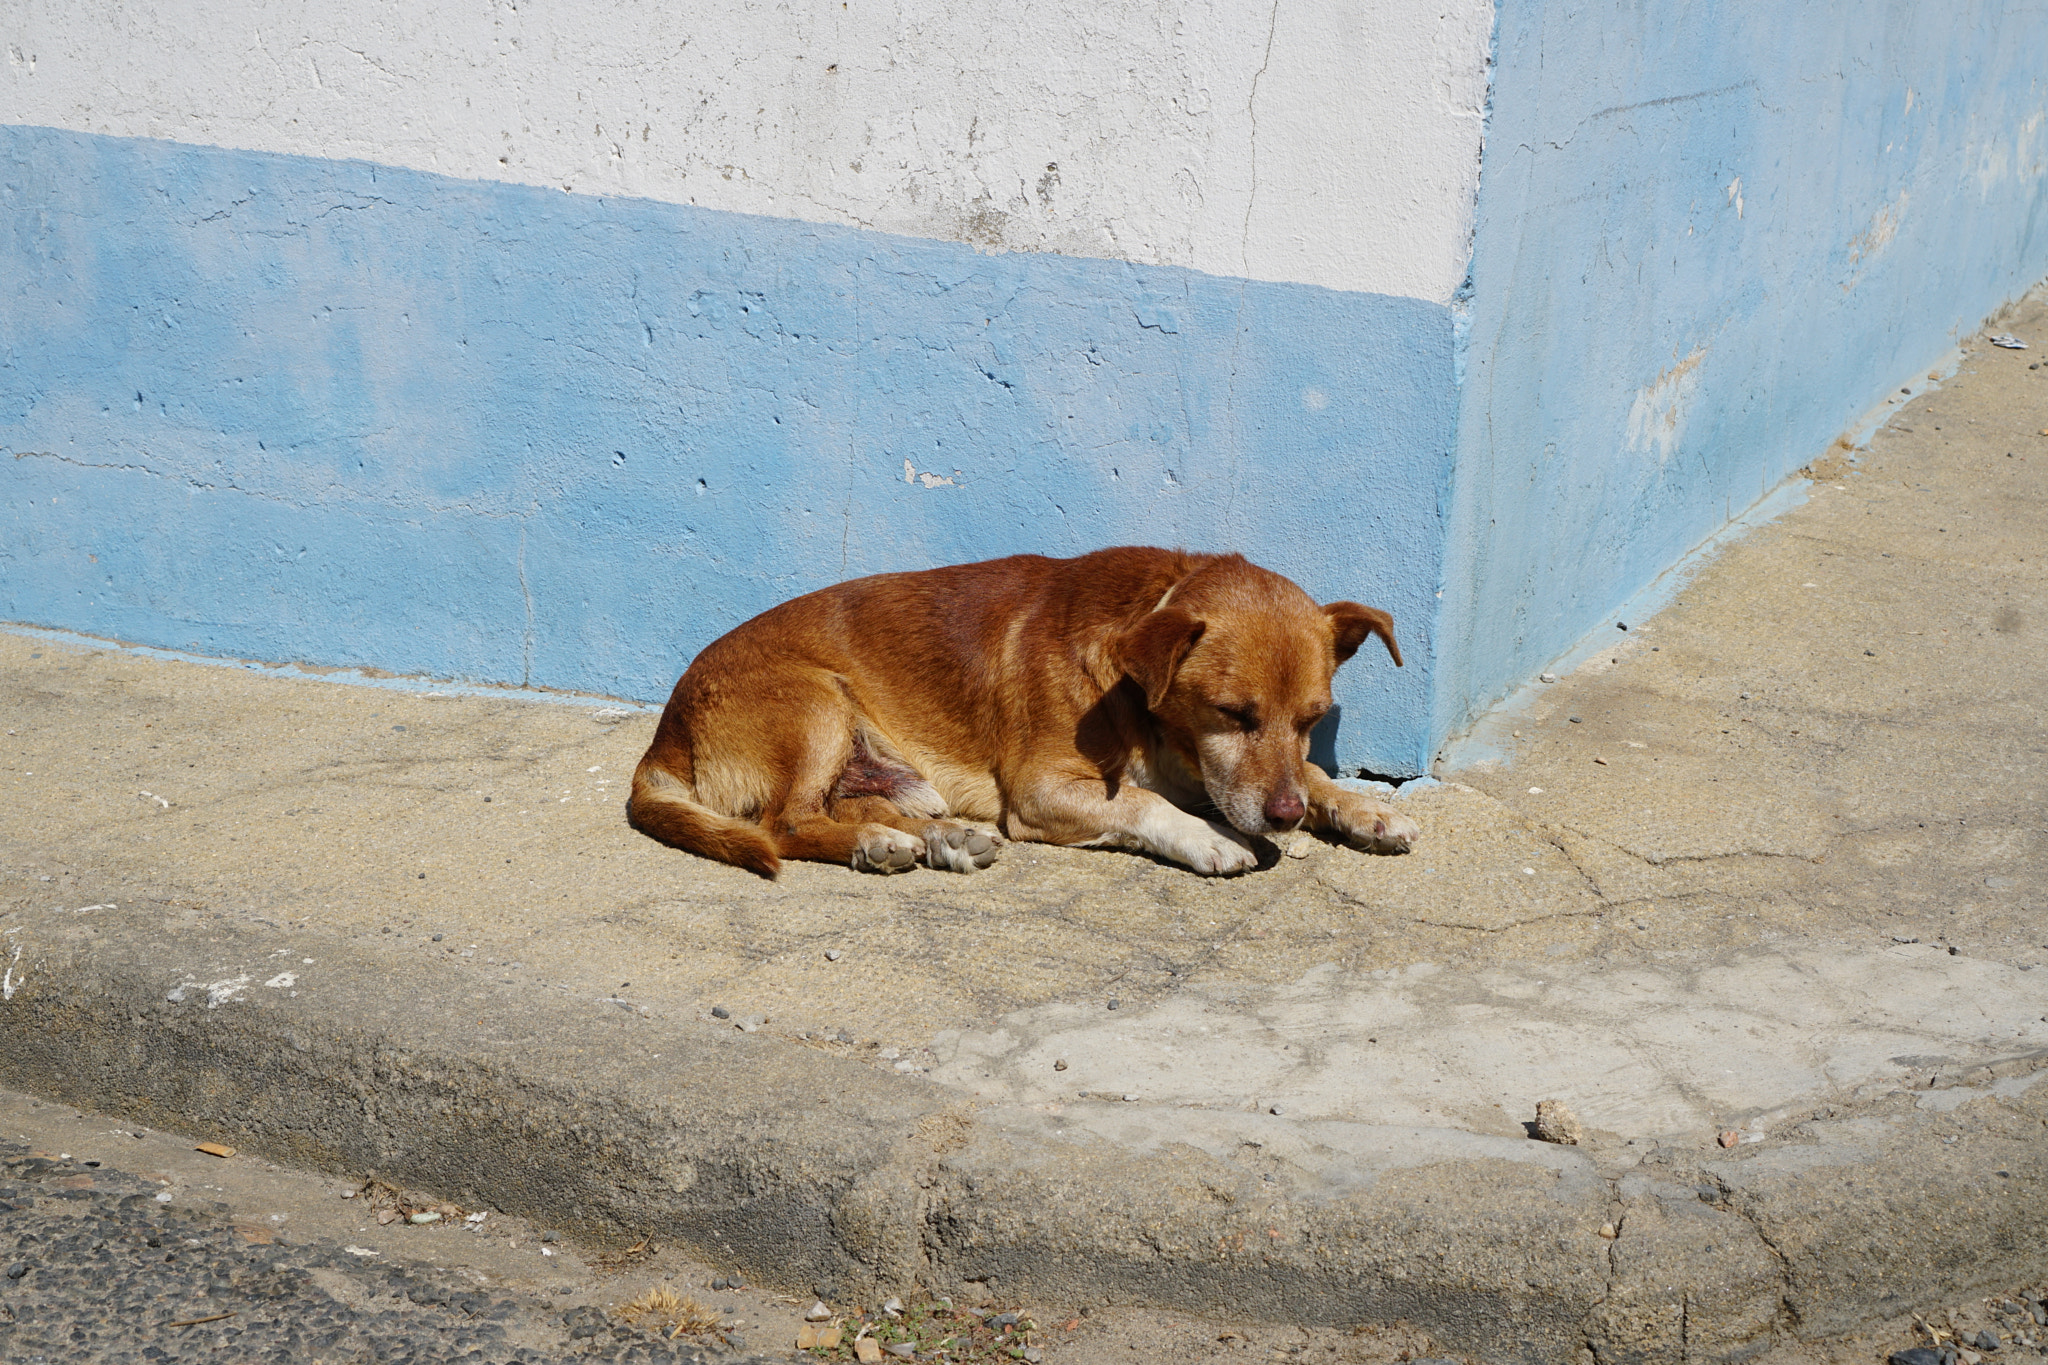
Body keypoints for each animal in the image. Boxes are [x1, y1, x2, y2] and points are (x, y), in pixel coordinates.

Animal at [630, 548, 1417, 879]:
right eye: (1231, 713)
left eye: (1313, 718)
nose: (1284, 819)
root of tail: (663, 739)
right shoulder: (1042, 789)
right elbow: (1143, 802)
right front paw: (1209, 836)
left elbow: (1313, 775)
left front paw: (1364, 810)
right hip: (816, 702)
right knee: (785, 822)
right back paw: (882, 846)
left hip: (887, 768)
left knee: (845, 807)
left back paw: (939, 840)